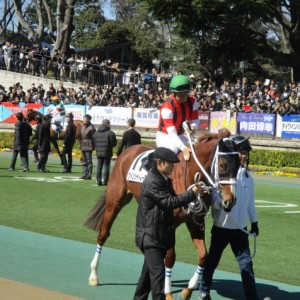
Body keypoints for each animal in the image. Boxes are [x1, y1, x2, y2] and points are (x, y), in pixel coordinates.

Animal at [85, 129, 240, 300]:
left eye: (240, 165)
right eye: (223, 164)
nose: (230, 201)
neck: (189, 174)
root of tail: (128, 150)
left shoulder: (195, 222)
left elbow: (203, 256)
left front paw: (186, 291)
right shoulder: (169, 224)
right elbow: (170, 258)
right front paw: (167, 292)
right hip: (115, 202)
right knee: (103, 234)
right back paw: (93, 275)